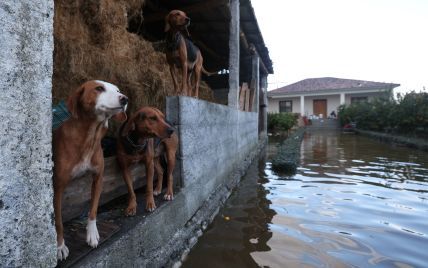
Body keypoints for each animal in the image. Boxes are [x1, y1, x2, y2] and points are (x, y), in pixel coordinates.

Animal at [52, 80, 128, 260]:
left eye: (118, 90)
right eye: (99, 88)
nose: (125, 99)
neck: (90, 135)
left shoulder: (98, 177)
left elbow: (93, 210)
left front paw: (92, 234)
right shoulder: (57, 187)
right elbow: (58, 221)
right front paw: (60, 246)